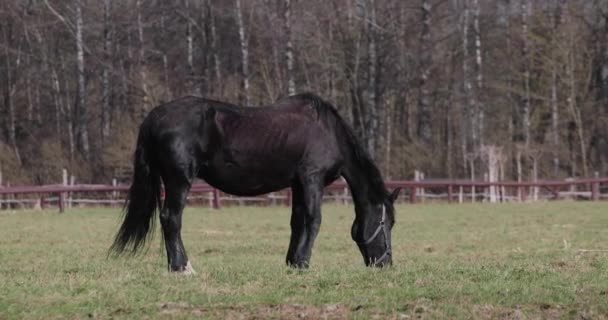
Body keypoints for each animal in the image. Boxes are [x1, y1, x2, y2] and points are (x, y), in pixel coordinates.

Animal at [111, 92, 402, 272]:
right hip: (178, 181)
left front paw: (292, 262)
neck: (328, 132)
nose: (385, 263)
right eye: (386, 223)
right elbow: (313, 220)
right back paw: (182, 267)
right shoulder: (312, 179)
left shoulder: (297, 184)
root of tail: (154, 117)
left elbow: (297, 222)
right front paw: (304, 262)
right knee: (171, 218)